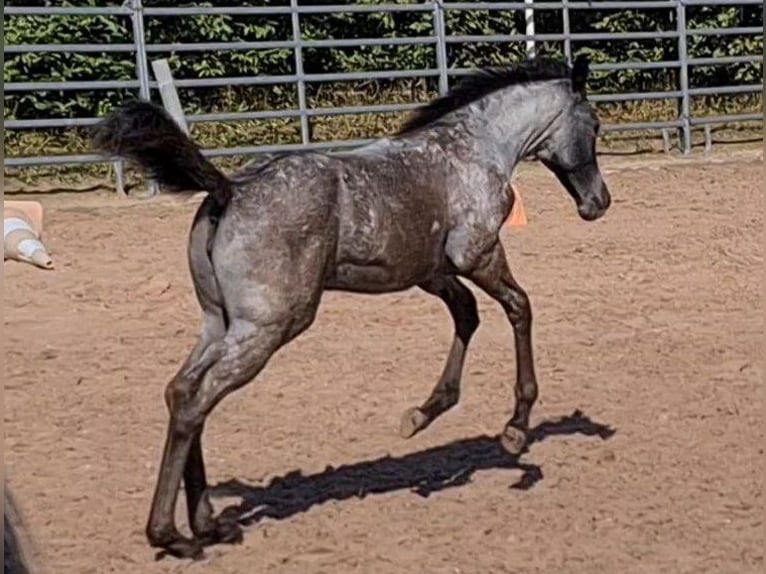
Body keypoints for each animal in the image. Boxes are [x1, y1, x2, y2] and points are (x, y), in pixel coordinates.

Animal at [93, 56, 616, 560]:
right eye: (593, 123)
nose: (599, 202)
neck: (474, 148)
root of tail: (228, 190)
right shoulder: (478, 254)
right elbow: (519, 308)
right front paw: (516, 430)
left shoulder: (430, 271)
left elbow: (467, 315)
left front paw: (423, 414)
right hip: (267, 326)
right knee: (196, 400)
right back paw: (173, 534)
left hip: (217, 324)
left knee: (182, 390)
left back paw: (207, 525)